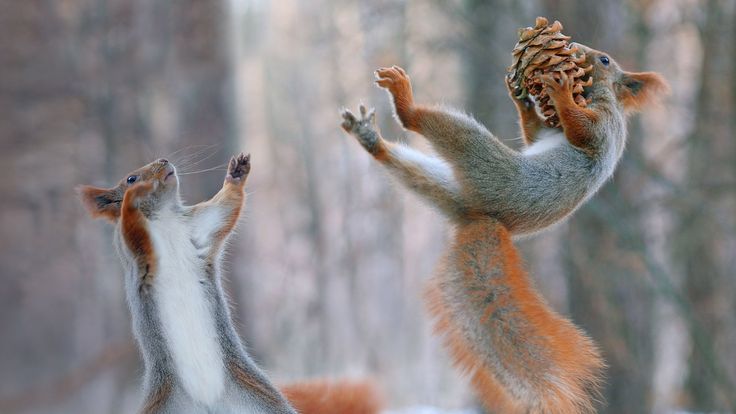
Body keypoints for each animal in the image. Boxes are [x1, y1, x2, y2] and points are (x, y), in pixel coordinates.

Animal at [78, 155, 382, 414]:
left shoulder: (199, 226)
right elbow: (132, 227)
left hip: (261, 400)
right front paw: (132, 198)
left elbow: (225, 208)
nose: (164, 161)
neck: (163, 216)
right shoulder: (134, 249)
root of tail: (208, 404)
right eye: (130, 178)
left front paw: (236, 174)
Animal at [340, 43, 668, 412]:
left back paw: (403, 101)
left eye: (605, 60)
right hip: (449, 187)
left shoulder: (603, 126)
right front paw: (522, 99)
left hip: (483, 161)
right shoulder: (549, 131)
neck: (596, 95)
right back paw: (371, 139)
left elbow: (582, 130)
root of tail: (484, 218)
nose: (576, 49)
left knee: (430, 125)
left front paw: (560, 93)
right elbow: (534, 133)